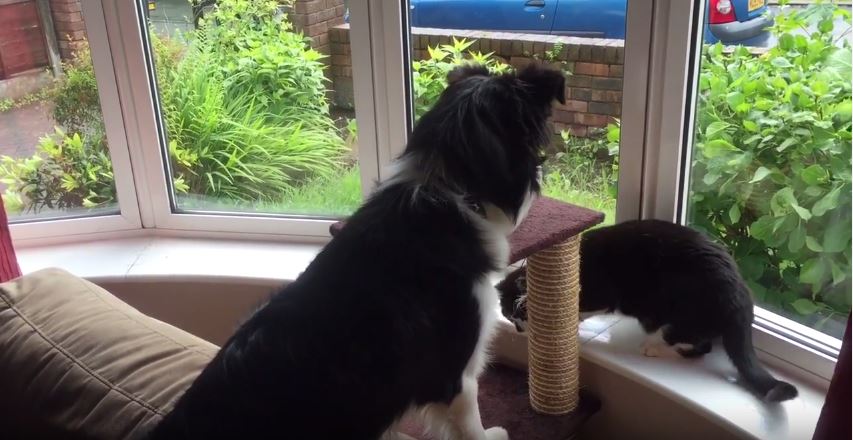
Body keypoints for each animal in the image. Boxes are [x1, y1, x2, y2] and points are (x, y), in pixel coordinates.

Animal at [500, 219, 800, 402]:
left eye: (520, 318)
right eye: (510, 319)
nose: (519, 332)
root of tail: (741, 300)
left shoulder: (600, 293)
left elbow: (584, 309)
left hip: (680, 305)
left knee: (695, 343)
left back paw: (653, 347)